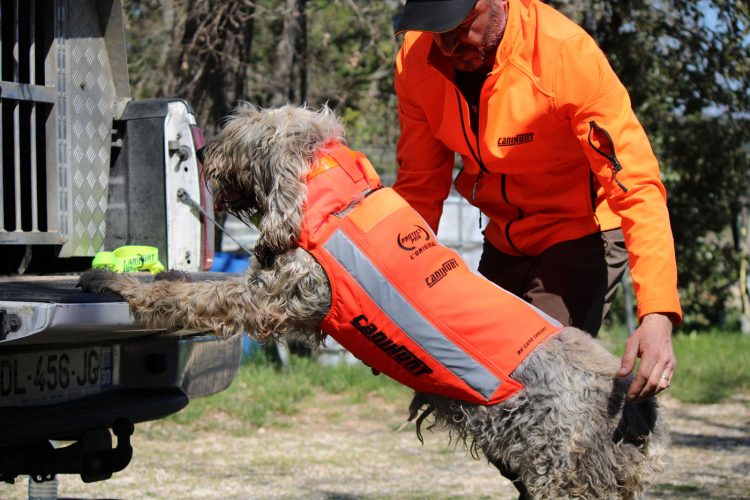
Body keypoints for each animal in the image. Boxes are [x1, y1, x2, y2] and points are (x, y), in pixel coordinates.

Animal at [81, 103, 668, 498]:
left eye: (245, 132)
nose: (203, 152)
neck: (338, 200)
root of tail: (636, 405)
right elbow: (188, 278)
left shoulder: (269, 297)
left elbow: (192, 292)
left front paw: (120, 284)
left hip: (563, 477)